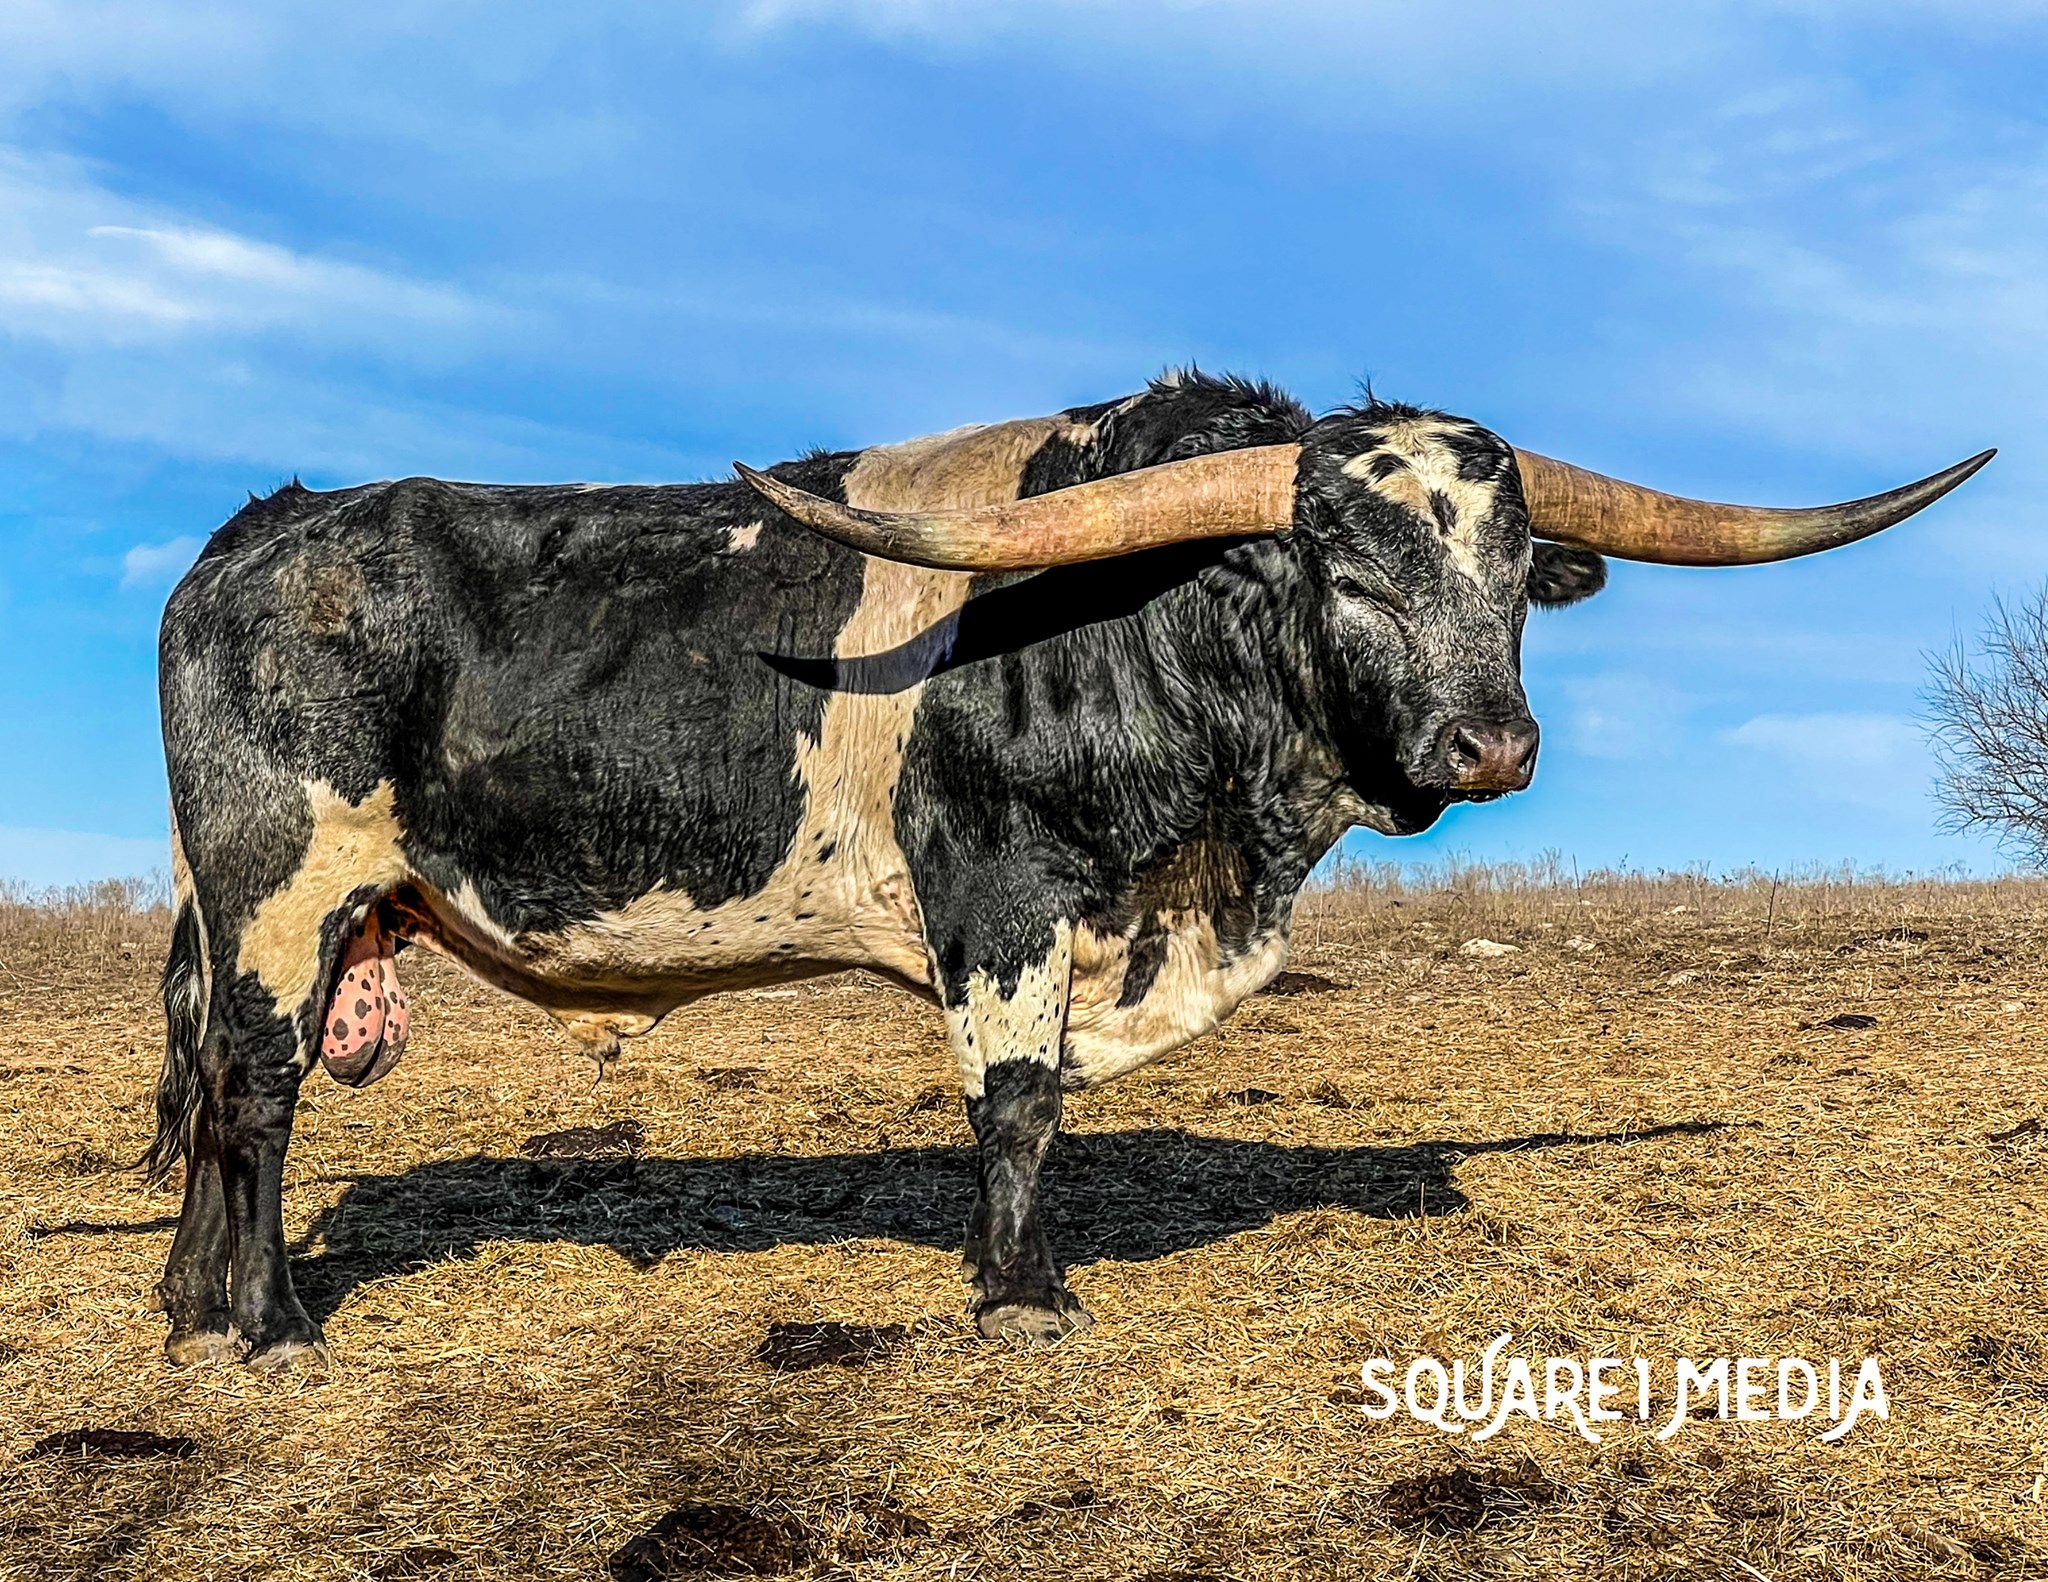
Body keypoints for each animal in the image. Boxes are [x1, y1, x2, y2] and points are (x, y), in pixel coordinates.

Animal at [143, 369, 1990, 1367]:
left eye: (1519, 567)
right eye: (1349, 571)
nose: (1492, 745)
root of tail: (258, 534)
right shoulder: (1002, 897)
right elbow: (1019, 1099)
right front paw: (1023, 1292)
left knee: (215, 1084)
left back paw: (187, 1300)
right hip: (282, 890)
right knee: (257, 1086)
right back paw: (271, 1320)